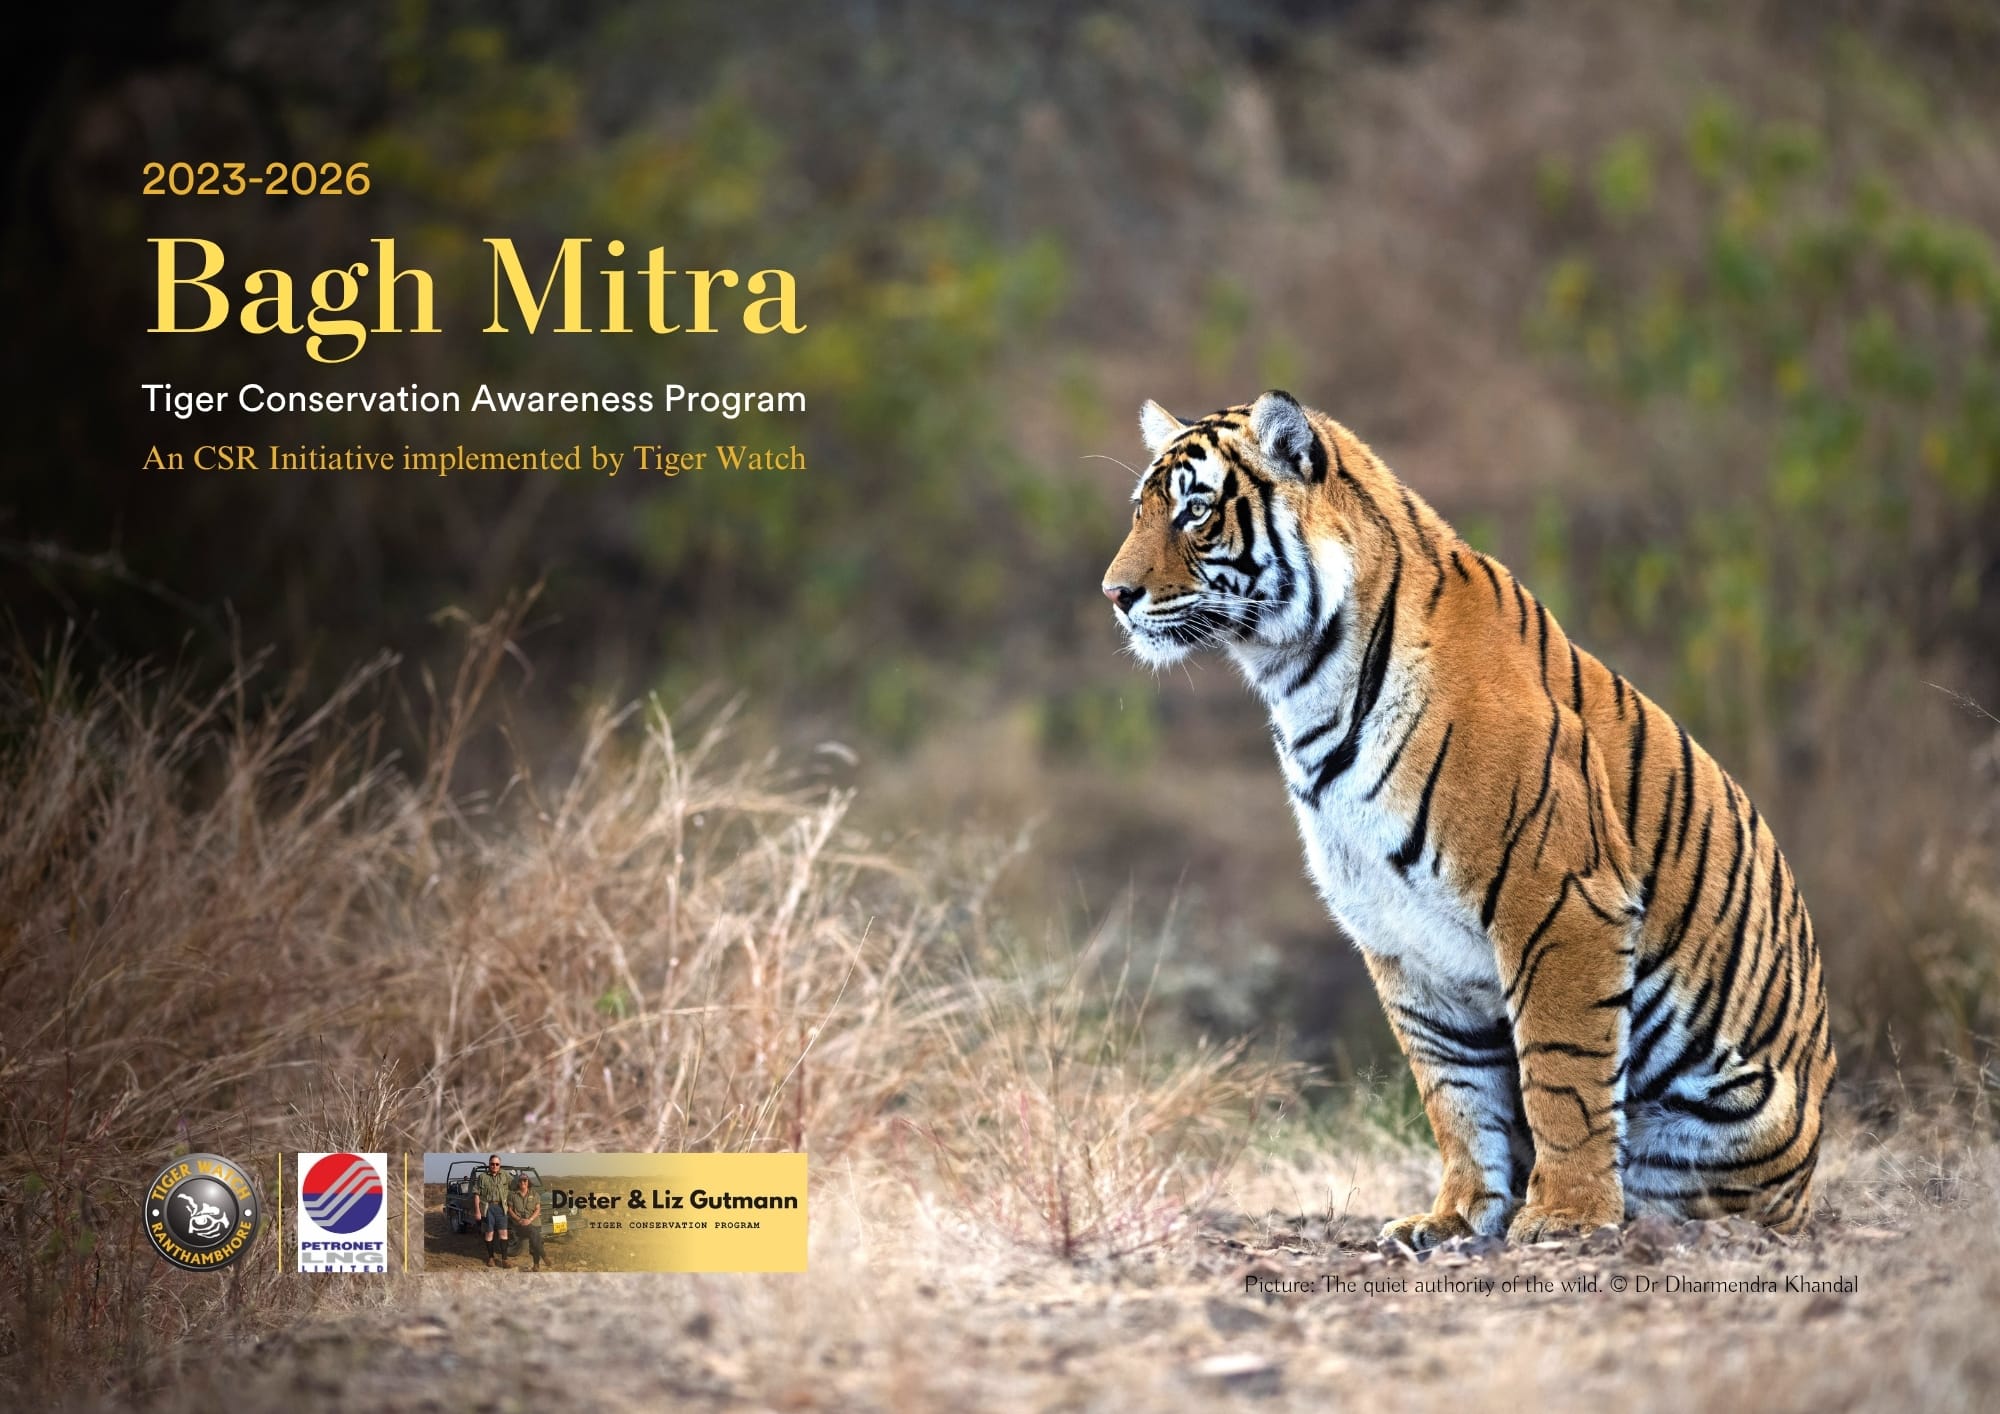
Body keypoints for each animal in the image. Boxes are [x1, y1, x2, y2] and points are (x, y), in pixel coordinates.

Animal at [1101, 390, 1835, 1246]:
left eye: (1195, 510)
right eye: (1141, 511)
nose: (1115, 595)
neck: (1301, 680)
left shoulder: (1561, 900)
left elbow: (1563, 1072)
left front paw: (1565, 1215)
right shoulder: (1398, 933)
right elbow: (1453, 1088)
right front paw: (1454, 1217)